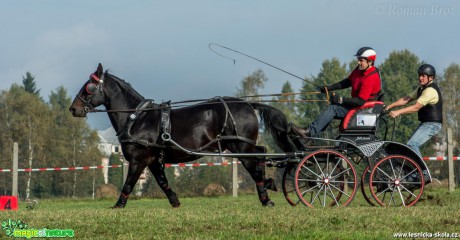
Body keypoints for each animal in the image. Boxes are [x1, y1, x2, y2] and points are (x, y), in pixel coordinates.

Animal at [70, 63, 296, 208]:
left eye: (89, 87)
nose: (74, 108)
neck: (137, 117)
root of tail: (248, 104)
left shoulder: (138, 159)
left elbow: (129, 183)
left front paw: (118, 205)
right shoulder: (153, 160)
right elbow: (163, 182)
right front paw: (175, 202)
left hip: (240, 147)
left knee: (255, 166)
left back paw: (266, 198)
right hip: (243, 145)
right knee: (261, 153)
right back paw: (269, 183)